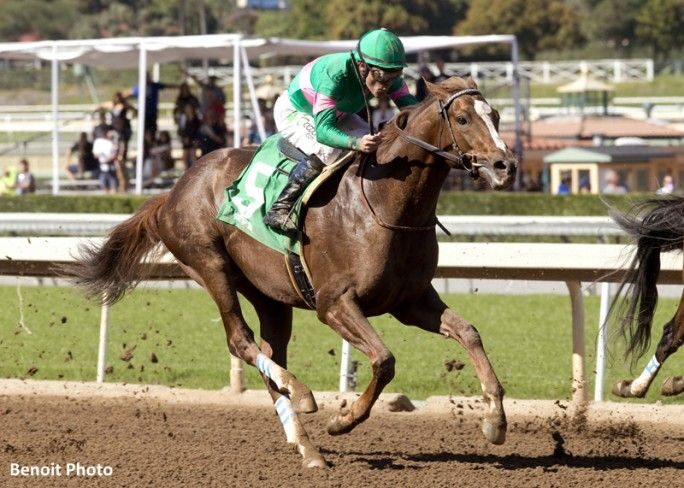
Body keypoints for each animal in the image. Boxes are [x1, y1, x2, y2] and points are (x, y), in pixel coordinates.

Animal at [64, 78, 516, 468]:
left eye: (495, 115)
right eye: (462, 119)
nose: (504, 165)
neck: (385, 202)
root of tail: (173, 189)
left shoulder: (411, 300)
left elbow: (469, 333)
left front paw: (495, 421)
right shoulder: (335, 303)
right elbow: (384, 360)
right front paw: (344, 419)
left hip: (269, 295)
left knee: (268, 352)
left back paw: (305, 444)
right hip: (209, 264)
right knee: (241, 340)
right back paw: (301, 394)